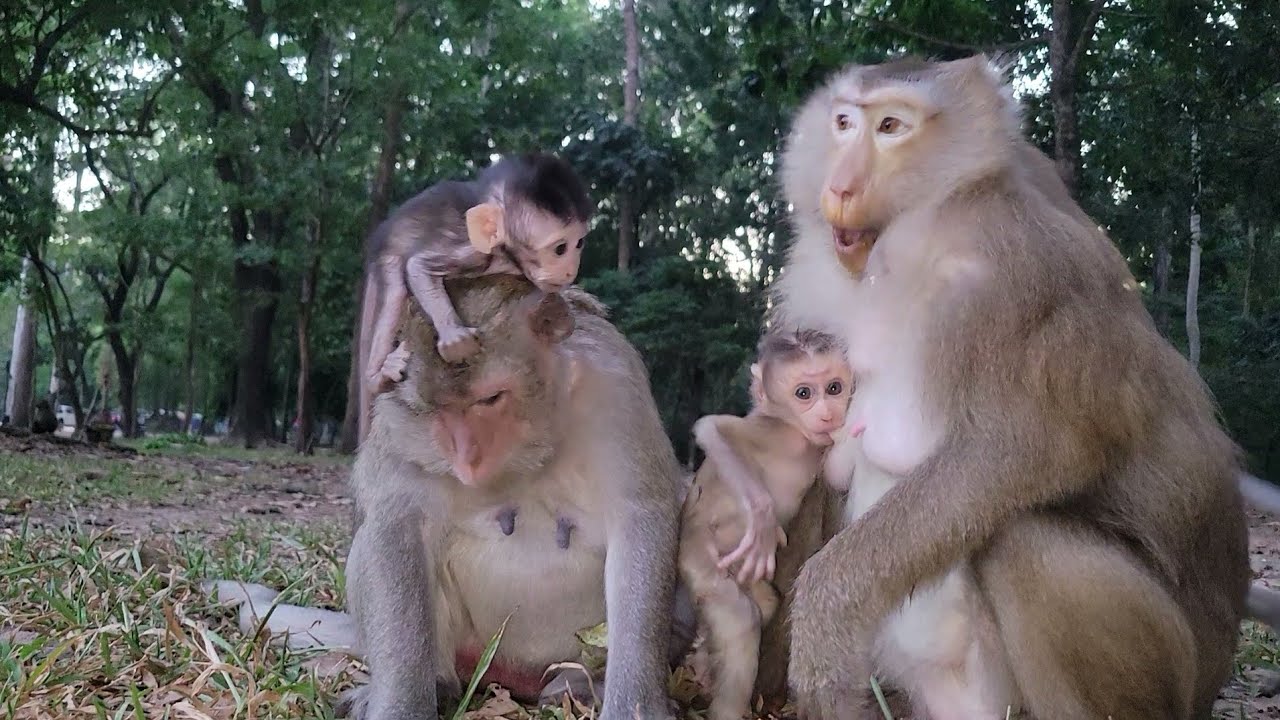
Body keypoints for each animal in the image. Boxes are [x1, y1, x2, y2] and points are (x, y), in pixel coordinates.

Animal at [342, 275, 681, 719]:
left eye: (490, 398)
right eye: (437, 410)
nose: (466, 457)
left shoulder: (615, 391)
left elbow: (641, 520)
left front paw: (634, 707)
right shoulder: (399, 417)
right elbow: (396, 525)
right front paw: (402, 704)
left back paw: (580, 685)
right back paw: (439, 682)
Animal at [357, 152, 593, 442]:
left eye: (579, 243)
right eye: (560, 249)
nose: (571, 269)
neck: (506, 255)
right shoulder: (475, 254)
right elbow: (418, 267)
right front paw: (454, 336)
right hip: (389, 257)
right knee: (395, 293)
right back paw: (376, 377)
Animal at [678, 328, 852, 720]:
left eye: (834, 388)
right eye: (804, 393)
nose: (827, 413)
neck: (800, 436)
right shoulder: (771, 431)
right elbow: (712, 428)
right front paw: (762, 519)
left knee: (767, 604)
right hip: (698, 558)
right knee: (742, 619)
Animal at [770, 55, 1250, 720]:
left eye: (891, 126)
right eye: (843, 122)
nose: (839, 187)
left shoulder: (1013, 275)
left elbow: (1031, 448)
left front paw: (823, 616)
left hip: (1174, 670)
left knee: (1023, 542)